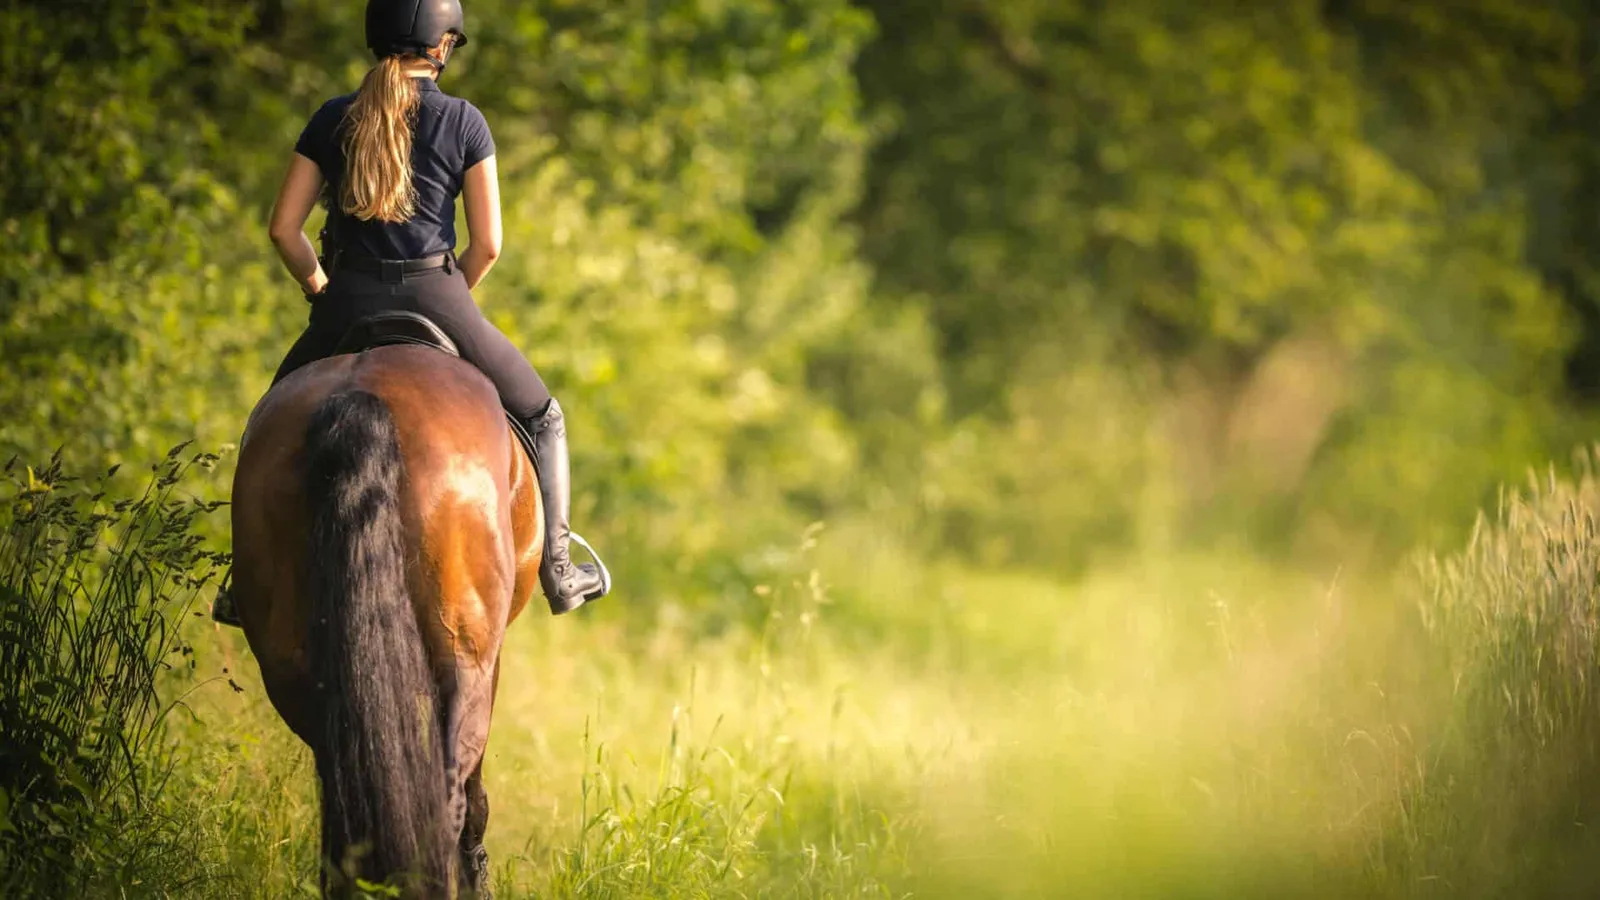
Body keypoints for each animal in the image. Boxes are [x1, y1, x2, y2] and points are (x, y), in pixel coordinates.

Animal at [230, 341, 543, 897]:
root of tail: (358, 397)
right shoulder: (491, 658)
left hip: (291, 667)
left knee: (342, 793)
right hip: (465, 652)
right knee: (449, 800)